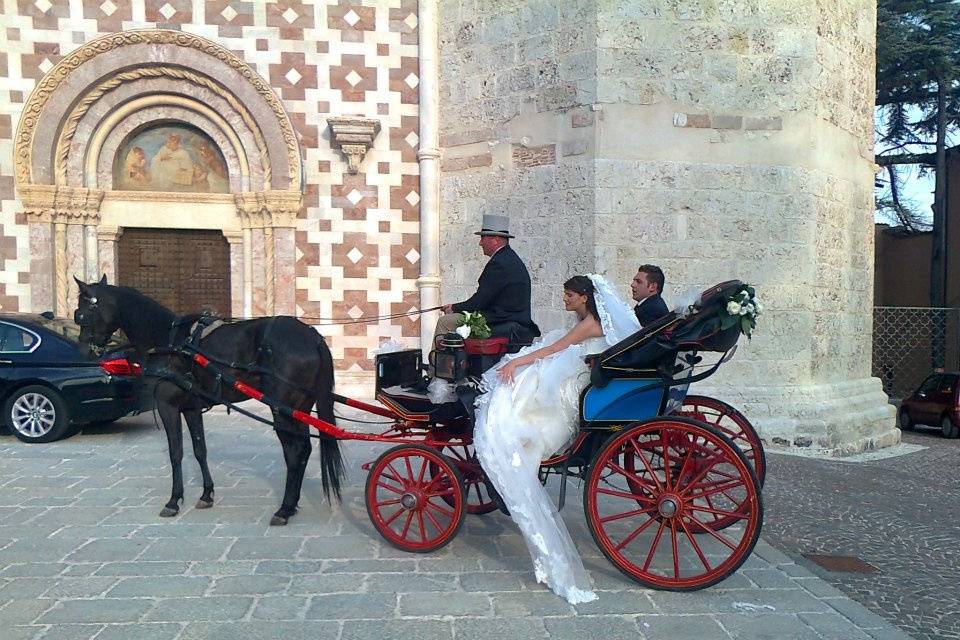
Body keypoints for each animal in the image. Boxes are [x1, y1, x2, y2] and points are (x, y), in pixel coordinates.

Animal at [75, 276, 344, 524]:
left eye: (81, 314)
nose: (83, 352)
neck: (168, 341)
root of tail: (312, 336)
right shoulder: (191, 408)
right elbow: (199, 450)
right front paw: (206, 494)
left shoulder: (167, 407)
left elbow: (176, 452)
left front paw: (174, 500)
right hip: (300, 408)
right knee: (304, 449)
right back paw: (292, 503)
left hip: (282, 409)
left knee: (294, 451)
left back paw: (285, 508)